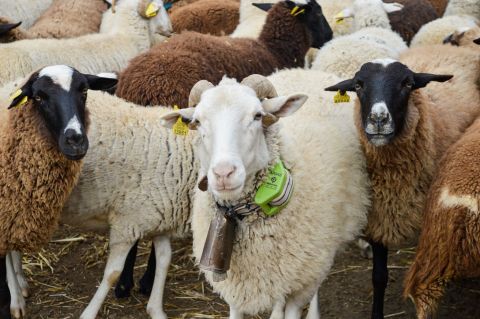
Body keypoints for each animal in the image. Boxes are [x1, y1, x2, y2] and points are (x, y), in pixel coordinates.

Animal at [159, 73, 370, 319]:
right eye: (197, 122)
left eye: (257, 116)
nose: (223, 173)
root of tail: (310, 71)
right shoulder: (234, 287)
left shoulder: (303, 282)